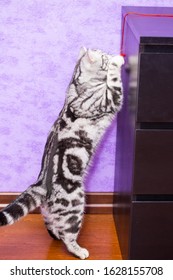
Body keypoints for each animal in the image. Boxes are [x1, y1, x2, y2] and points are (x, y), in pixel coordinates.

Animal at [0, 47, 124, 260]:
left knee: (51, 224)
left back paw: (56, 234)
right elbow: (114, 79)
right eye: (104, 56)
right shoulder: (111, 99)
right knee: (68, 235)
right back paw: (79, 250)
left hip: (50, 212)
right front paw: (117, 61)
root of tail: (41, 184)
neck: (77, 83)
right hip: (75, 206)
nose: (110, 54)